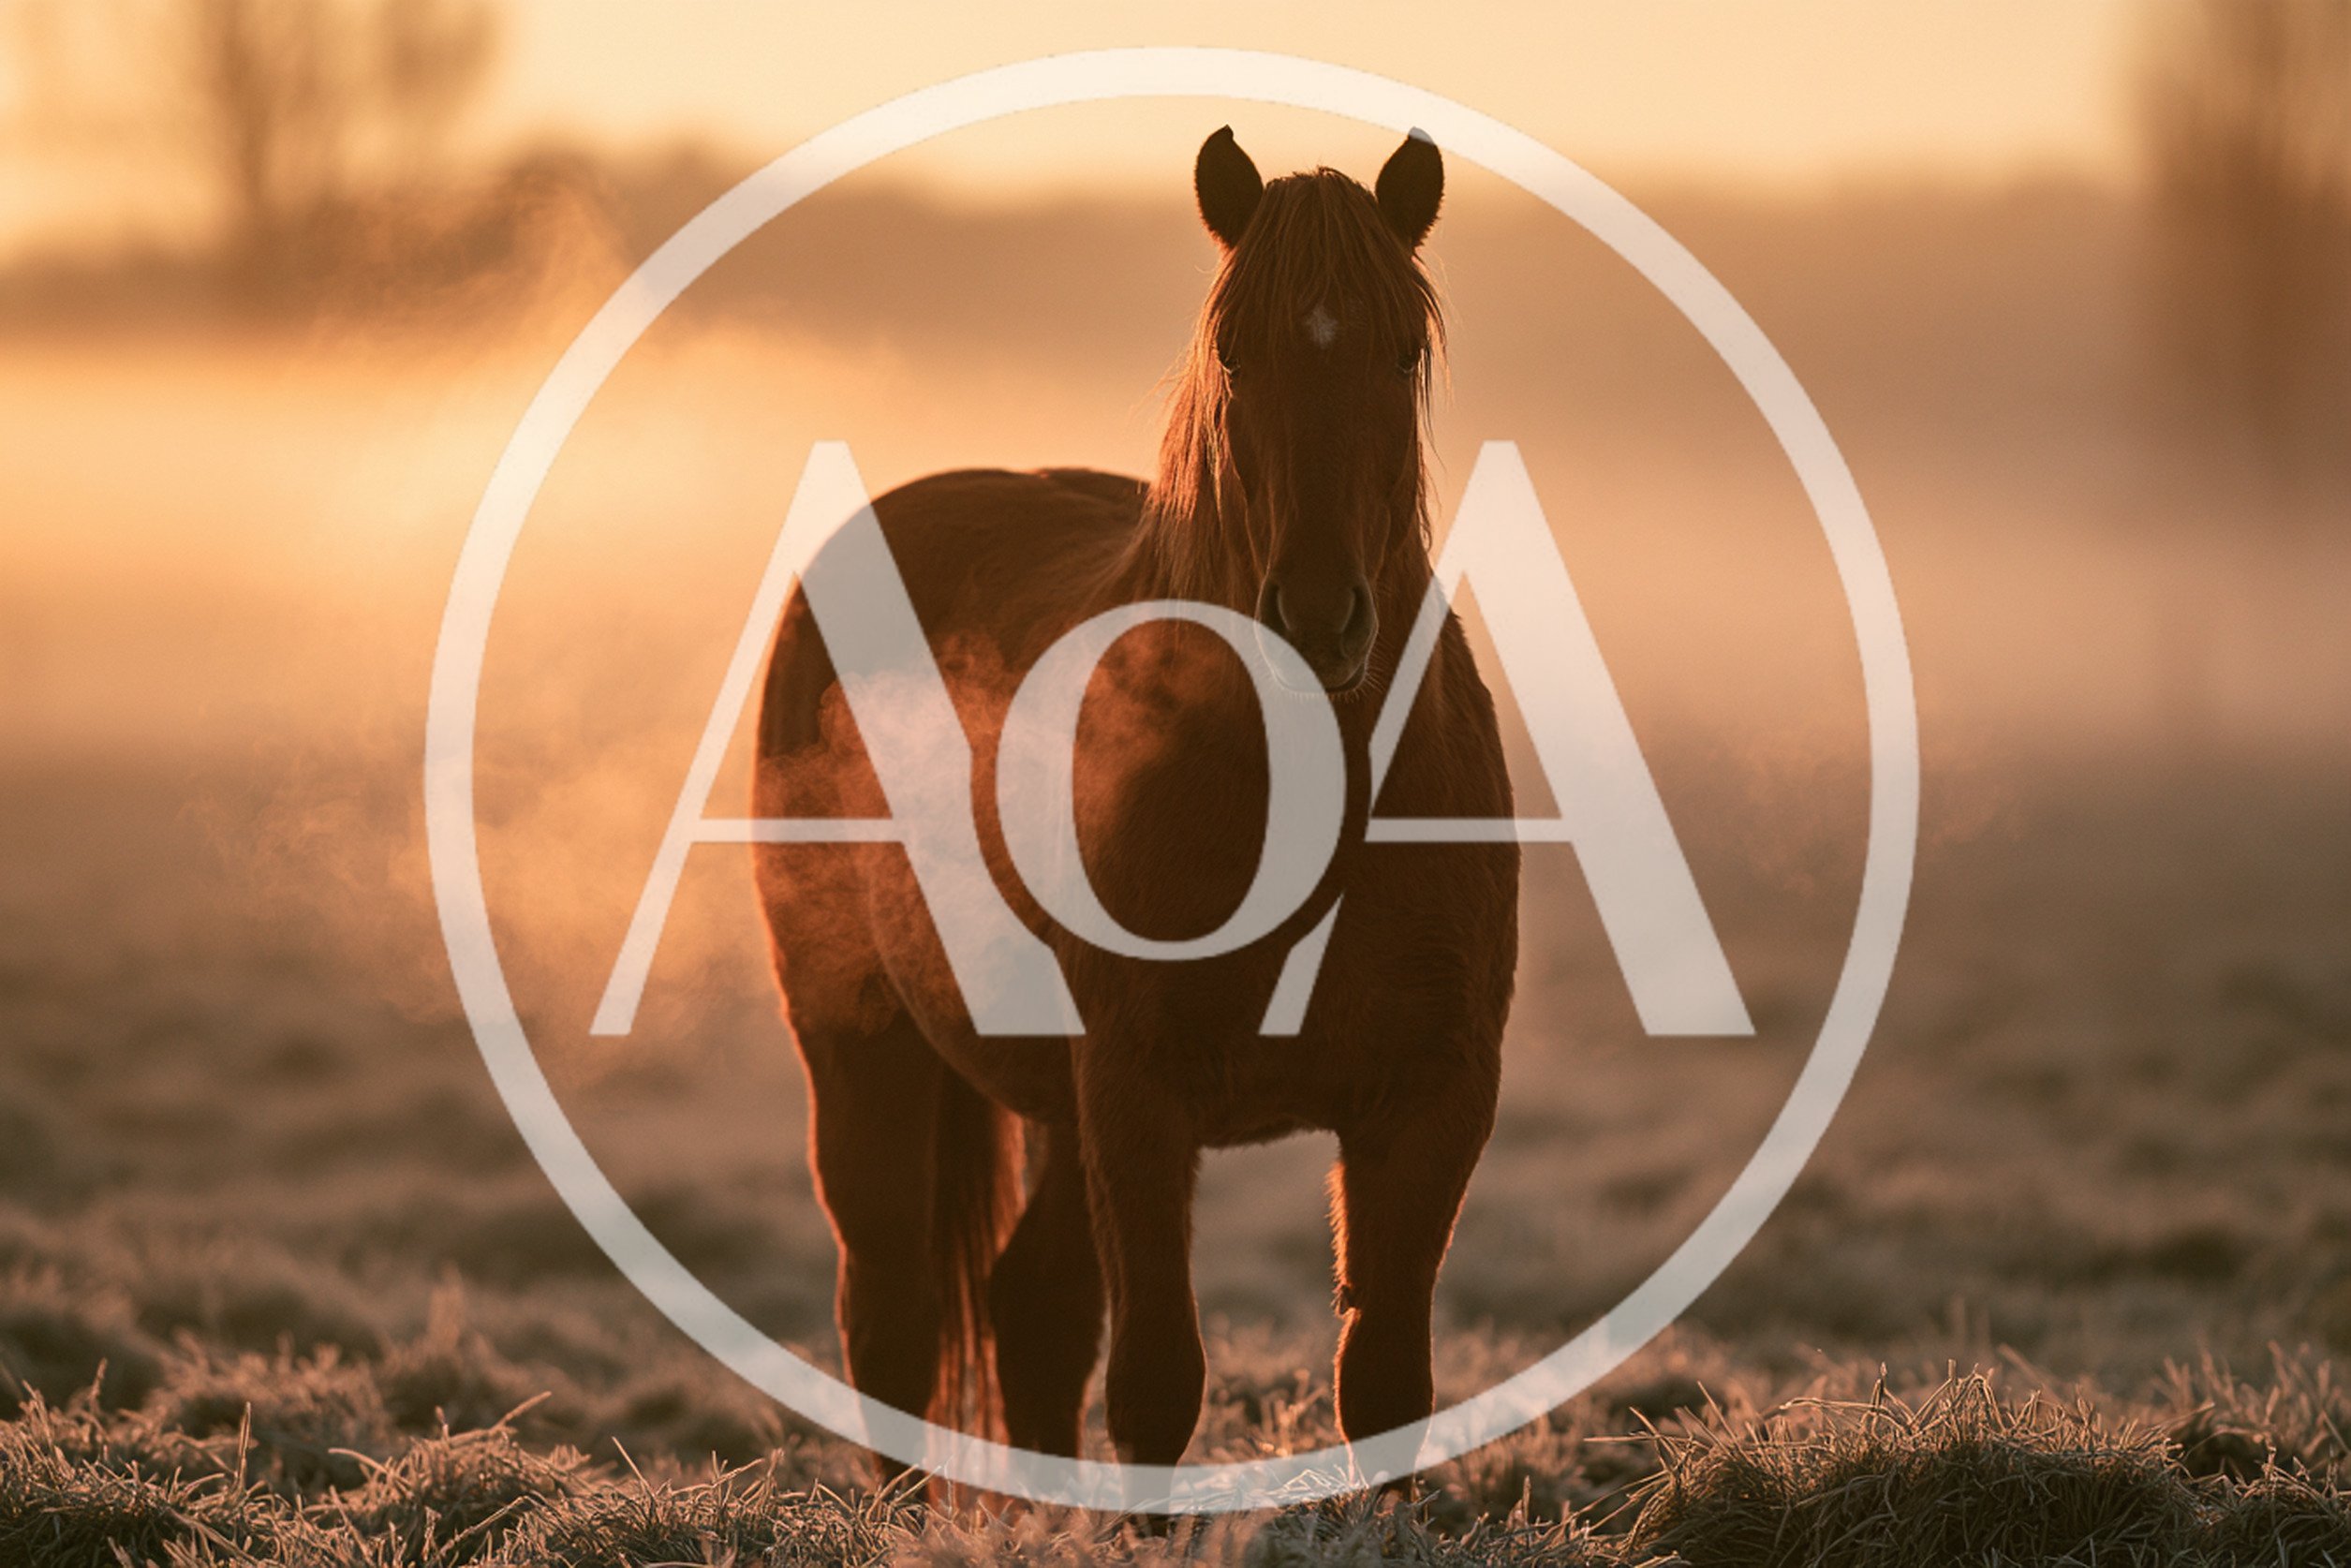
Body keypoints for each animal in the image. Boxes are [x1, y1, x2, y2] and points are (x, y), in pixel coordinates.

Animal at [751, 126, 1518, 1478]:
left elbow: (1382, 1383)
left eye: (1402, 350)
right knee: (892, 1313)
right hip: (862, 1041)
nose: (1317, 614)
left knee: (1031, 1309)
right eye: (1234, 349)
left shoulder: (1430, 1102)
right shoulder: (1136, 1097)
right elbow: (1157, 1385)